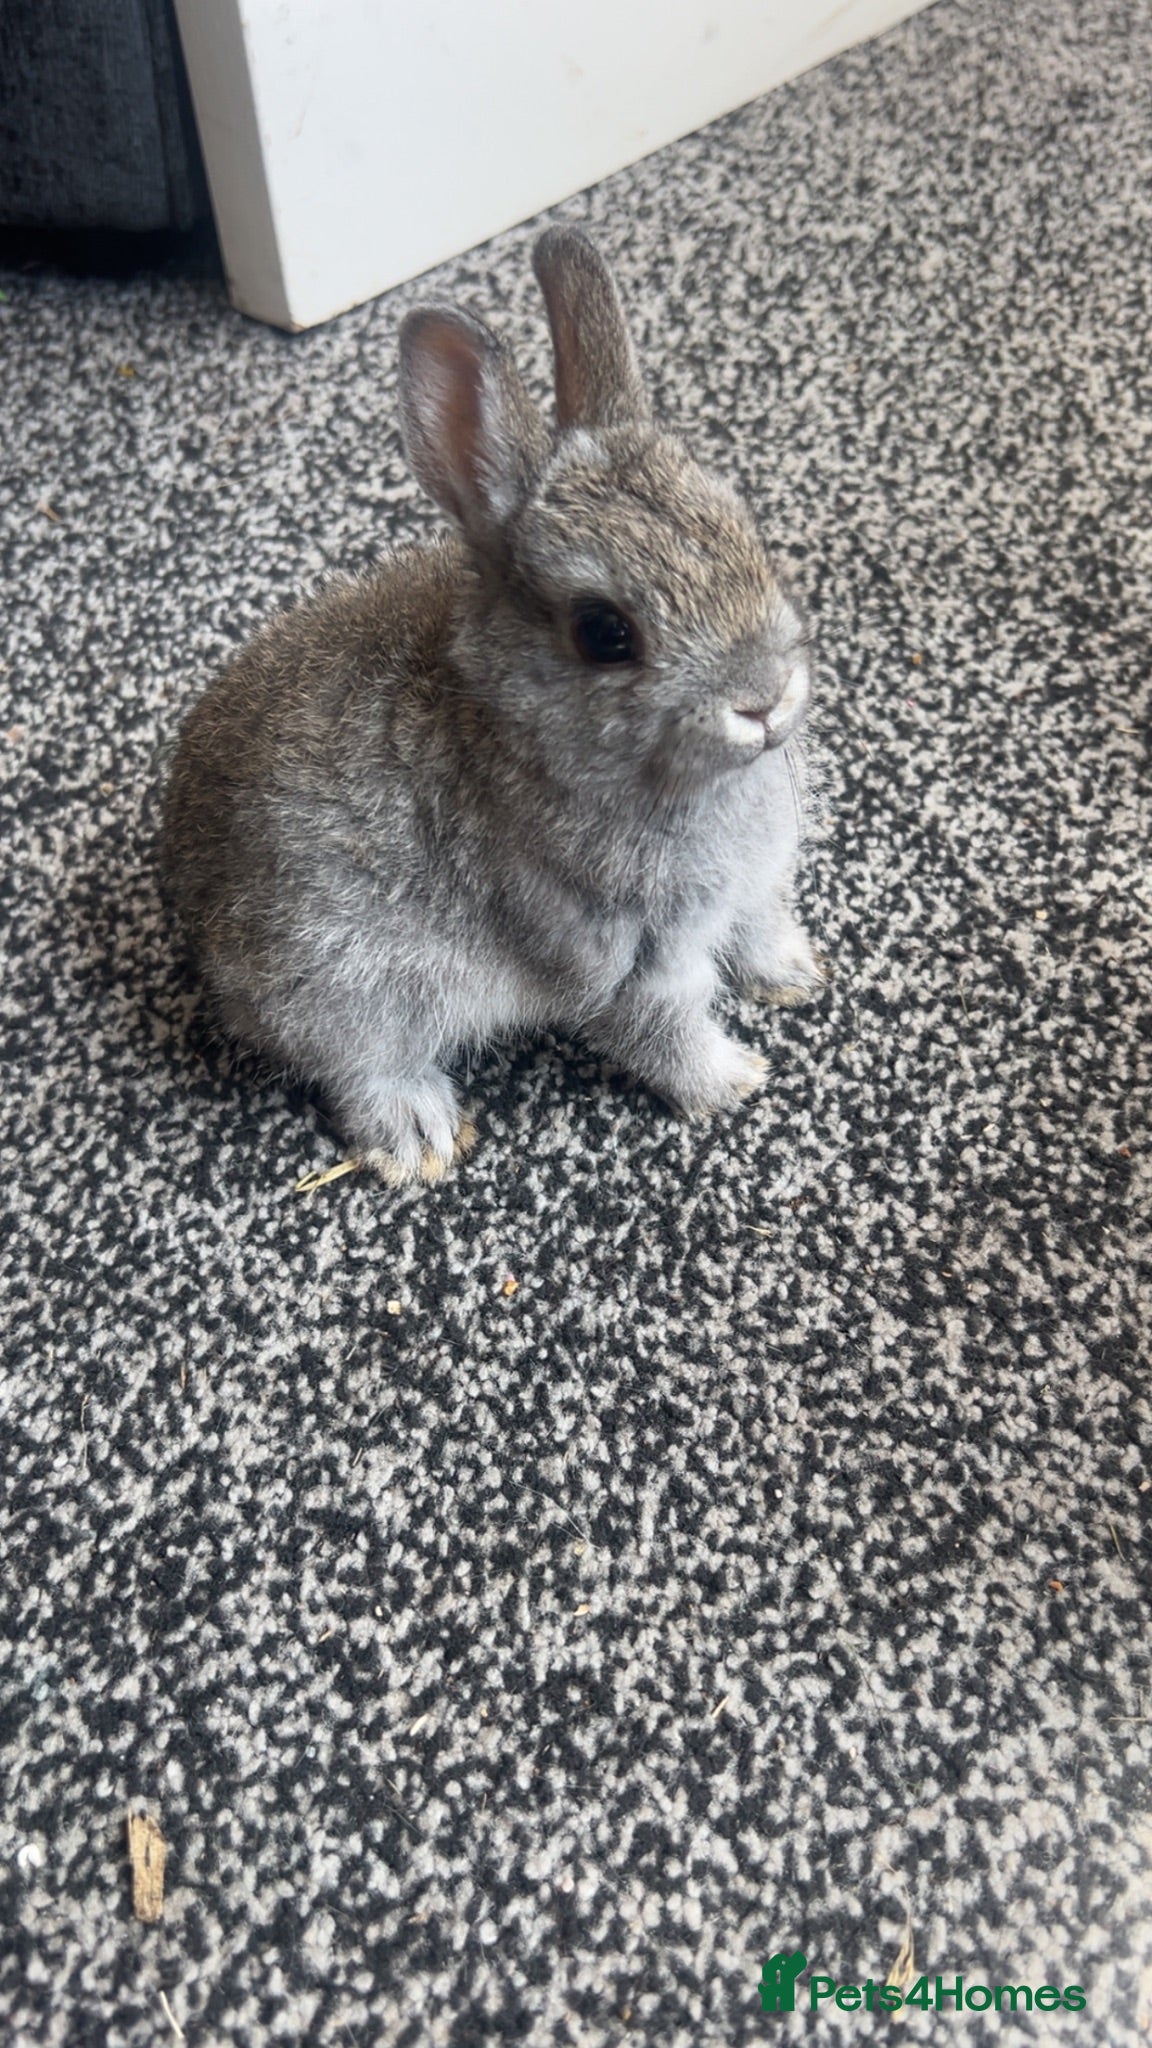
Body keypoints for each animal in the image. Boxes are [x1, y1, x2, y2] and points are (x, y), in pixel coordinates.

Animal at [161, 227, 824, 1183]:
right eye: (604, 633)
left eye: (745, 531)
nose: (765, 699)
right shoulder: (621, 957)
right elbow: (661, 1030)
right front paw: (733, 1081)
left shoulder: (748, 889)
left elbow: (760, 924)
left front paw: (796, 974)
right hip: (341, 985)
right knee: (356, 1067)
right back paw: (421, 1135)